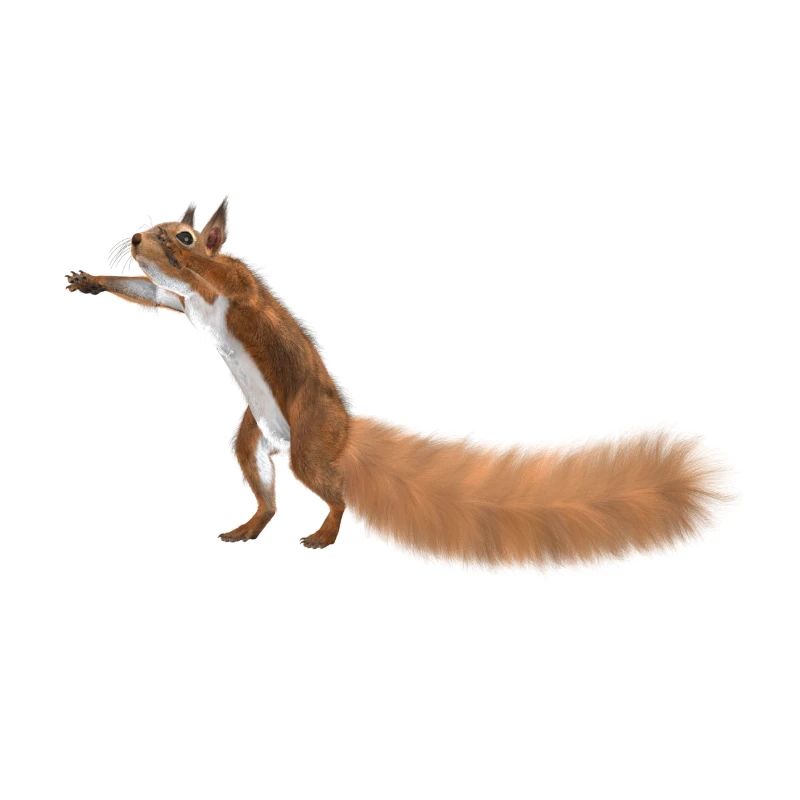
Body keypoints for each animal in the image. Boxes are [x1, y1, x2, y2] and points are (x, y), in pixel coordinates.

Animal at [66, 199, 722, 564]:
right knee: (269, 496)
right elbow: (151, 293)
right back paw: (249, 527)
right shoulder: (178, 302)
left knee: (338, 495)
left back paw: (324, 534)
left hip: (310, 444)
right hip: (254, 440)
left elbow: (216, 274)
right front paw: (92, 281)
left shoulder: (240, 286)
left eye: (183, 233)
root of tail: (346, 432)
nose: (137, 237)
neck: (206, 299)